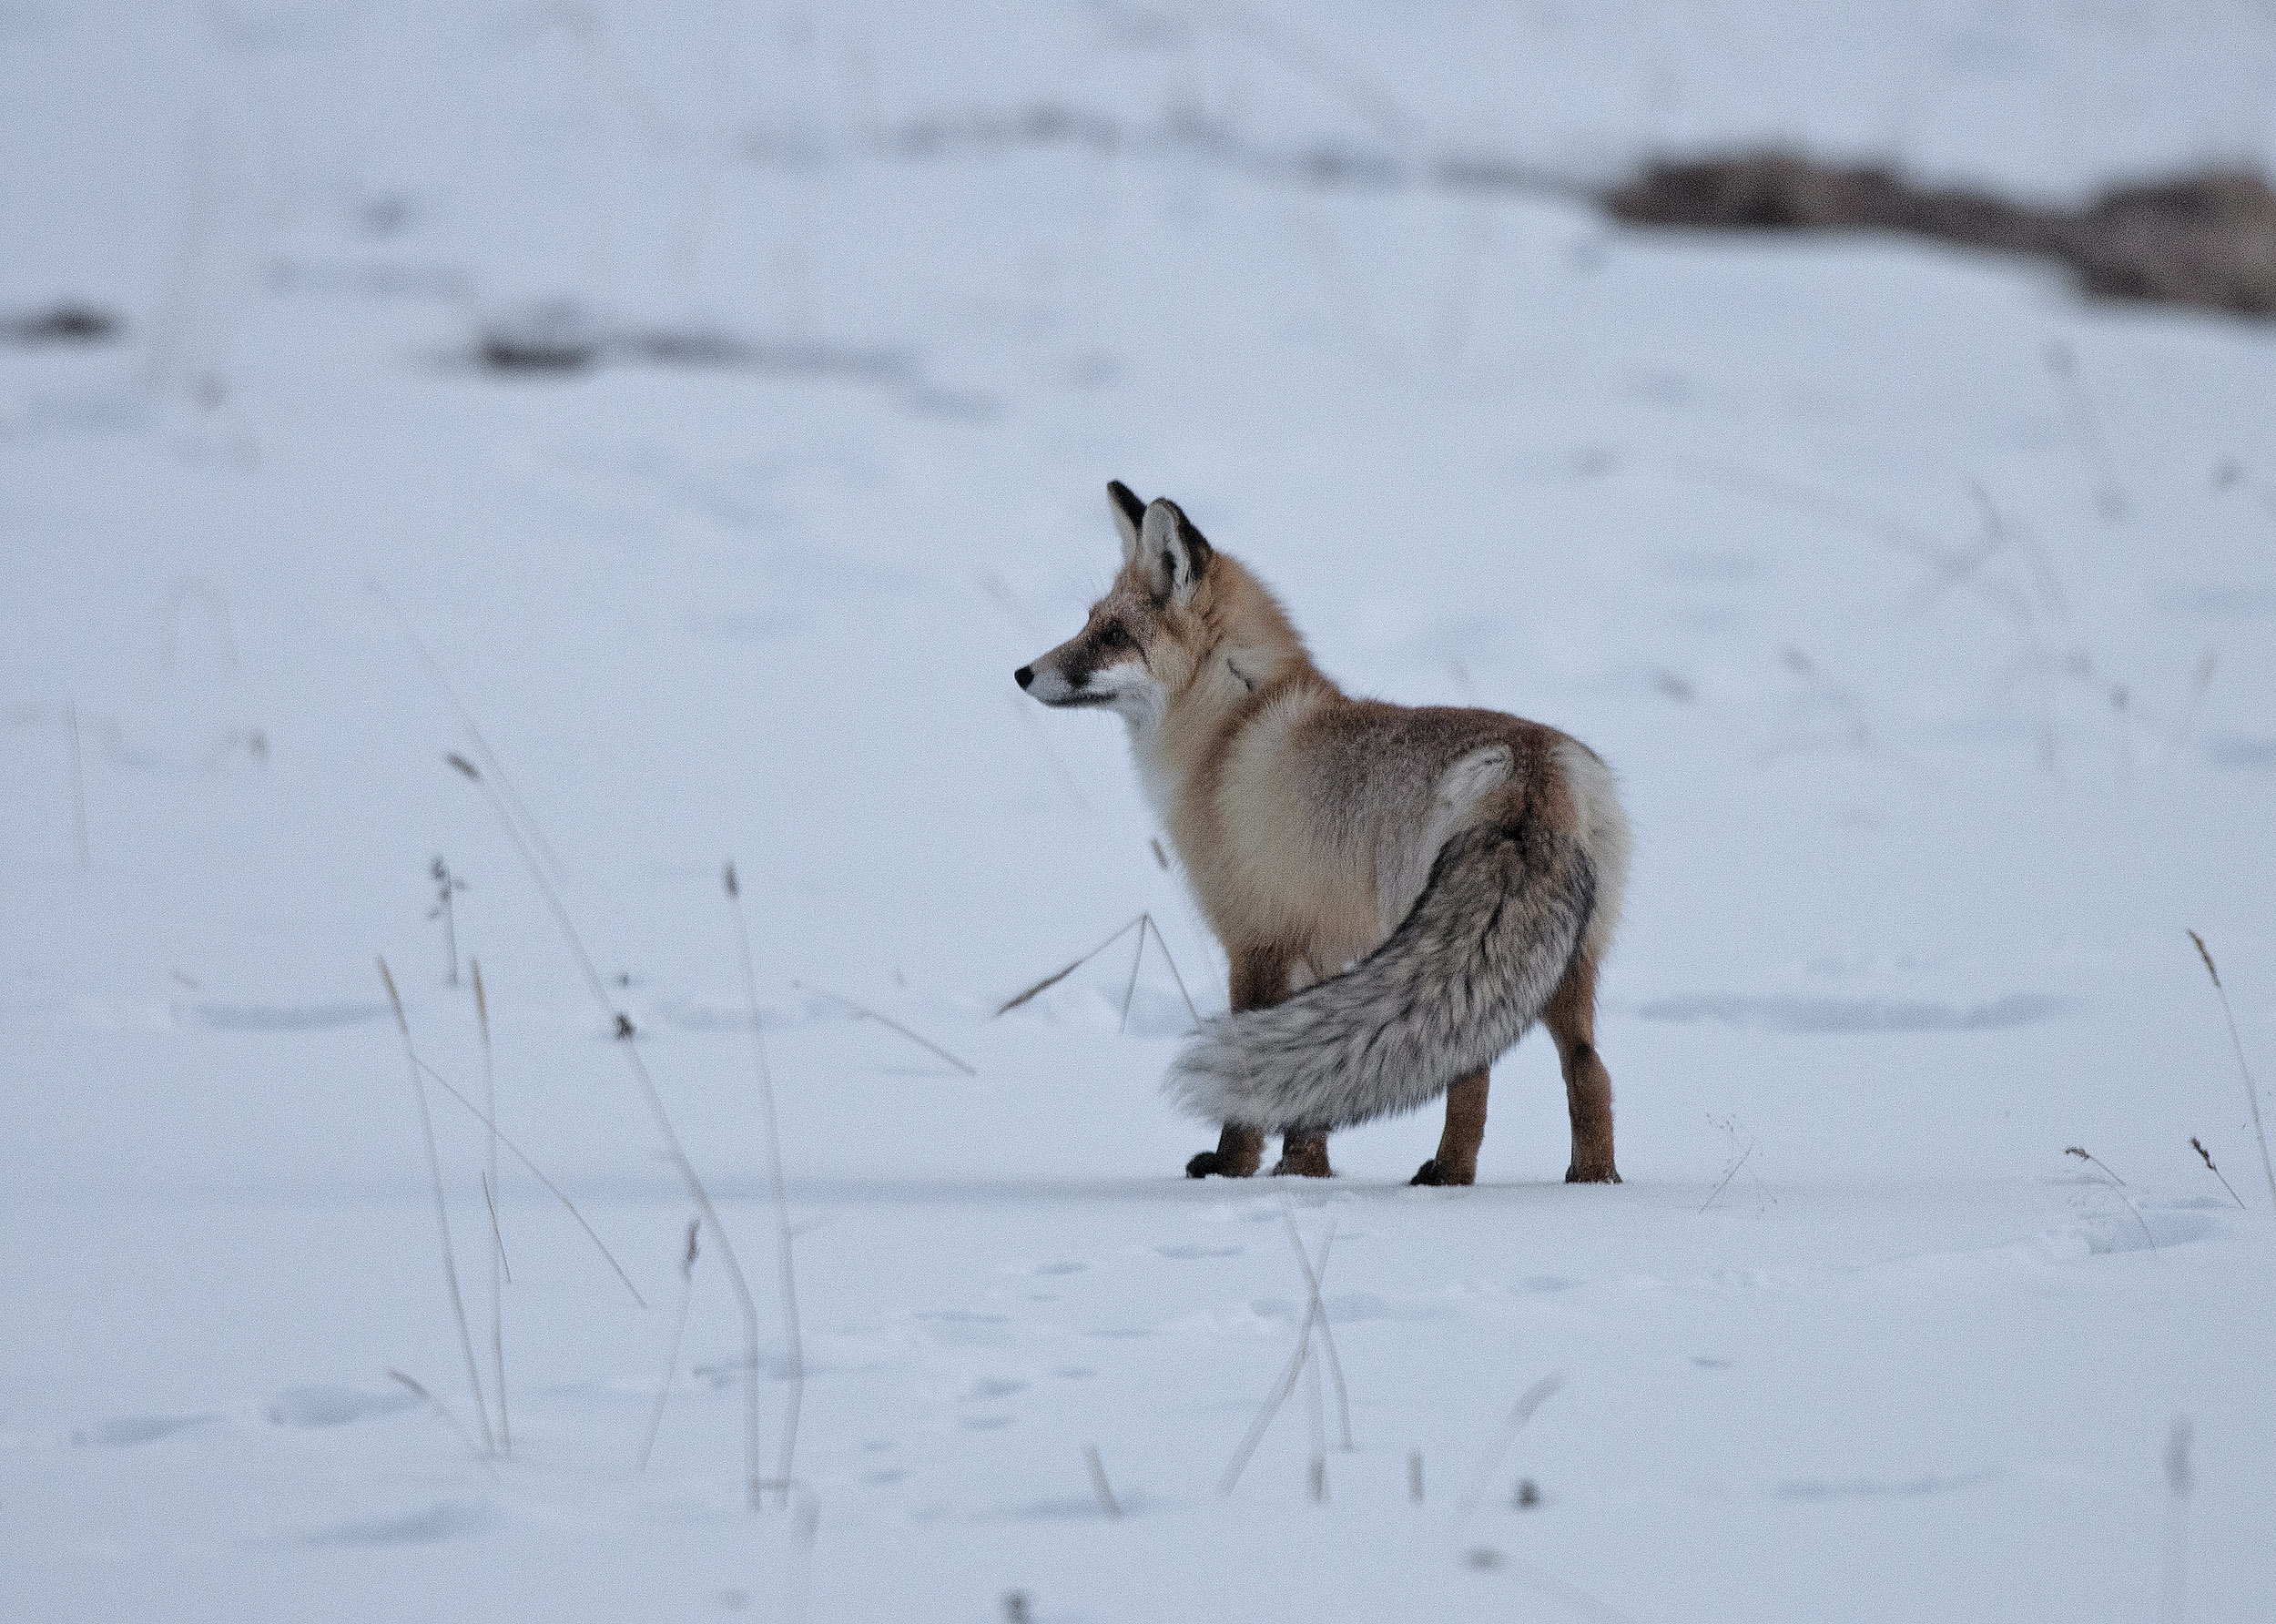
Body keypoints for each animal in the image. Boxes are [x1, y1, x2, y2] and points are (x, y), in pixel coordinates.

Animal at [1006, 477, 1630, 1173]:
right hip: (1560, 963)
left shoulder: (1256, 936)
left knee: (1476, 1072)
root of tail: (1527, 770)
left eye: (1113, 635)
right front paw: (1305, 1172)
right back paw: (1588, 1178)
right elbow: (1310, 1100)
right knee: (1587, 1068)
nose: (1022, 673)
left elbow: (1255, 1077)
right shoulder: (1320, 947)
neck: (1227, 731)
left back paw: (1450, 1177)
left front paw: (1233, 1168)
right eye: (1089, 622)